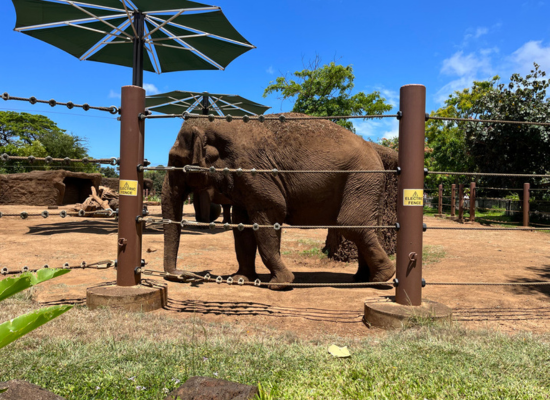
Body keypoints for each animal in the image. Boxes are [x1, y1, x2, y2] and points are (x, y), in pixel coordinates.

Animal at [162, 113, 398, 288]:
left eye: (176, 160)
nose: (184, 275)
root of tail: (375, 151)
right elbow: (242, 227)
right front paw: (240, 279)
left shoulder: (255, 173)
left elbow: (270, 215)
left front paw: (280, 283)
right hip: (368, 184)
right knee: (368, 226)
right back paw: (363, 279)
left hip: (362, 177)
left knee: (351, 224)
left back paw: (381, 277)